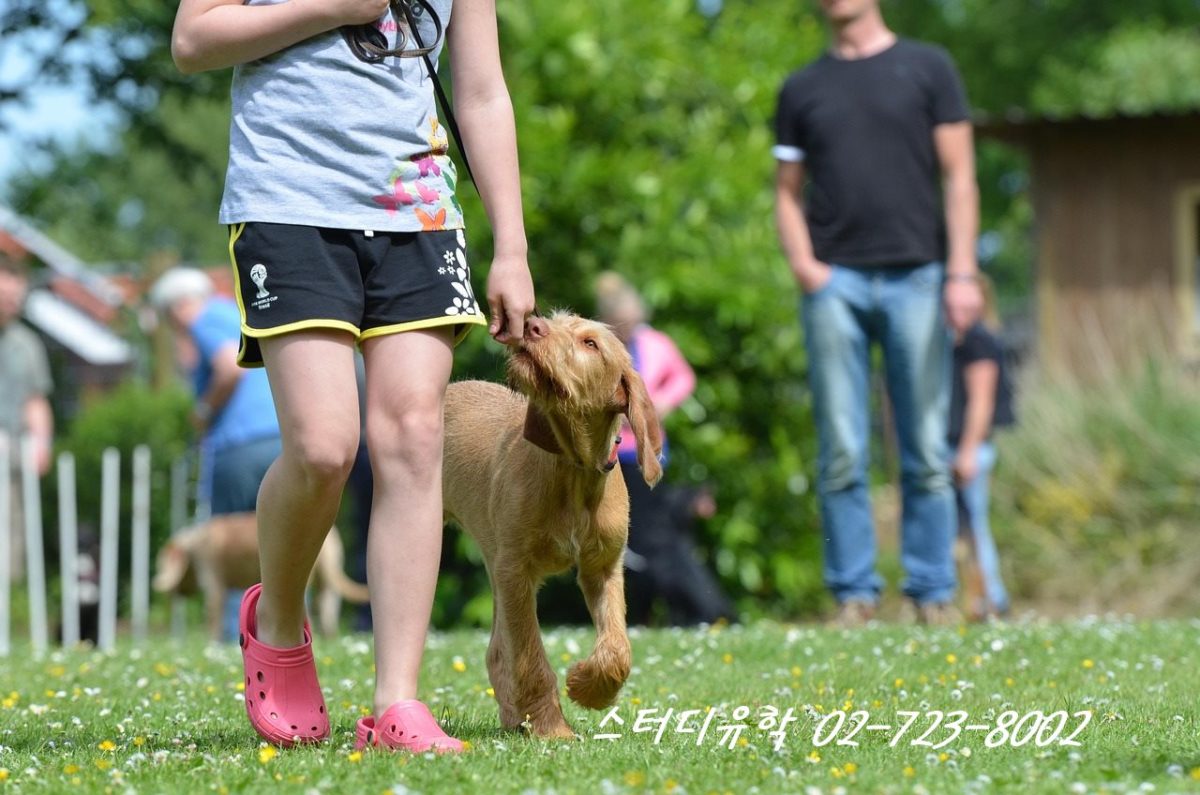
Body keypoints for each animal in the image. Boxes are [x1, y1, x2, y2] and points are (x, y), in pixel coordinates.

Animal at [444, 312, 667, 739]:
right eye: (553, 320)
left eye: (590, 344)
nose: (532, 325)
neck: (572, 470)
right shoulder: (517, 572)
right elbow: (531, 657)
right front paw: (552, 728)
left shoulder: (603, 568)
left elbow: (618, 648)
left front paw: (588, 688)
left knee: (496, 651)